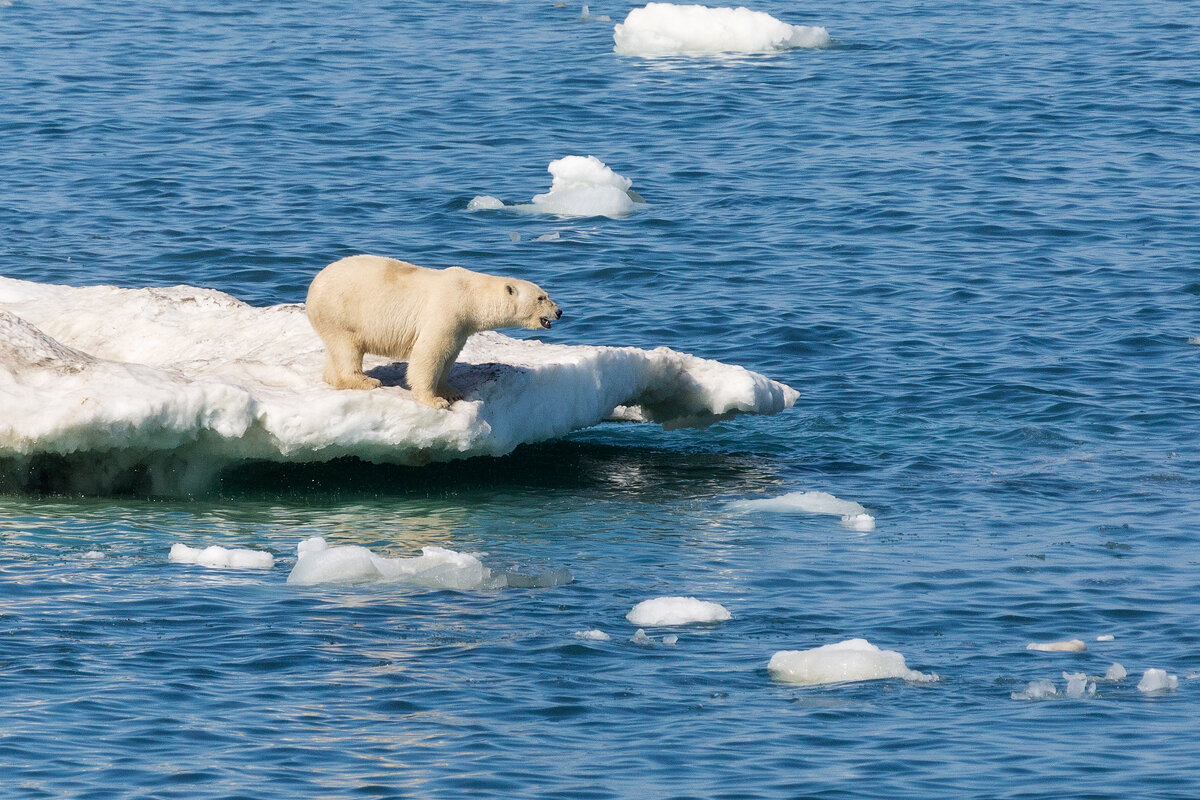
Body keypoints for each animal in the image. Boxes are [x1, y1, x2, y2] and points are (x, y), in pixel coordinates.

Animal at [302, 255, 559, 410]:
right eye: (541, 298)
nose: (559, 311)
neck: (470, 295)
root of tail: (314, 284)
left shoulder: (461, 327)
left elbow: (449, 355)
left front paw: (450, 391)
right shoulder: (445, 311)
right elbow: (429, 354)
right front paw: (435, 400)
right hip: (340, 312)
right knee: (347, 348)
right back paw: (365, 381)